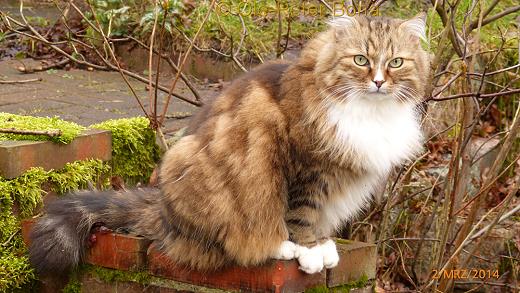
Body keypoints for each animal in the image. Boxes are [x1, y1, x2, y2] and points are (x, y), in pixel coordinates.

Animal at [30, 13, 430, 274]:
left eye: (396, 62)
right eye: (360, 60)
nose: (378, 82)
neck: (368, 112)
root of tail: (162, 210)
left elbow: (318, 218)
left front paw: (323, 244)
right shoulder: (307, 169)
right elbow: (301, 214)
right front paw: (309, 251)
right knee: (223, 243)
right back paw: (278, 247)